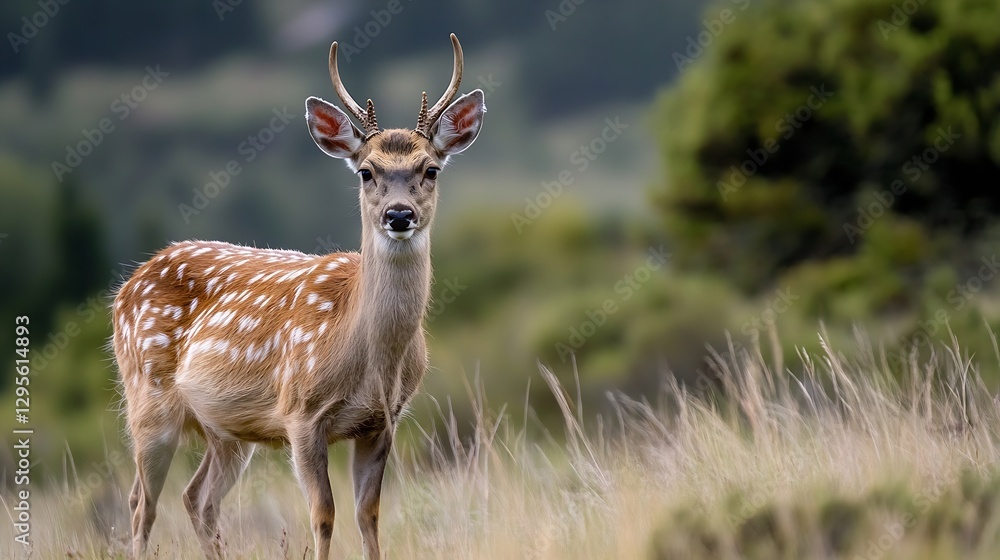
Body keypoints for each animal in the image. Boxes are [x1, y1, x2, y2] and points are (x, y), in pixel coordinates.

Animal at [111, 34, 485, 560]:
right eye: (366, 171)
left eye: (430, 169)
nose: (399, 215)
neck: (363, 351)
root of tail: (127, 285)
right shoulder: (300, 413)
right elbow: (323, 515)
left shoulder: (383, 422)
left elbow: (368, 516)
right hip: (146, 397)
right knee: (140, 502)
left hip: (227, 430)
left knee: (196, 498)